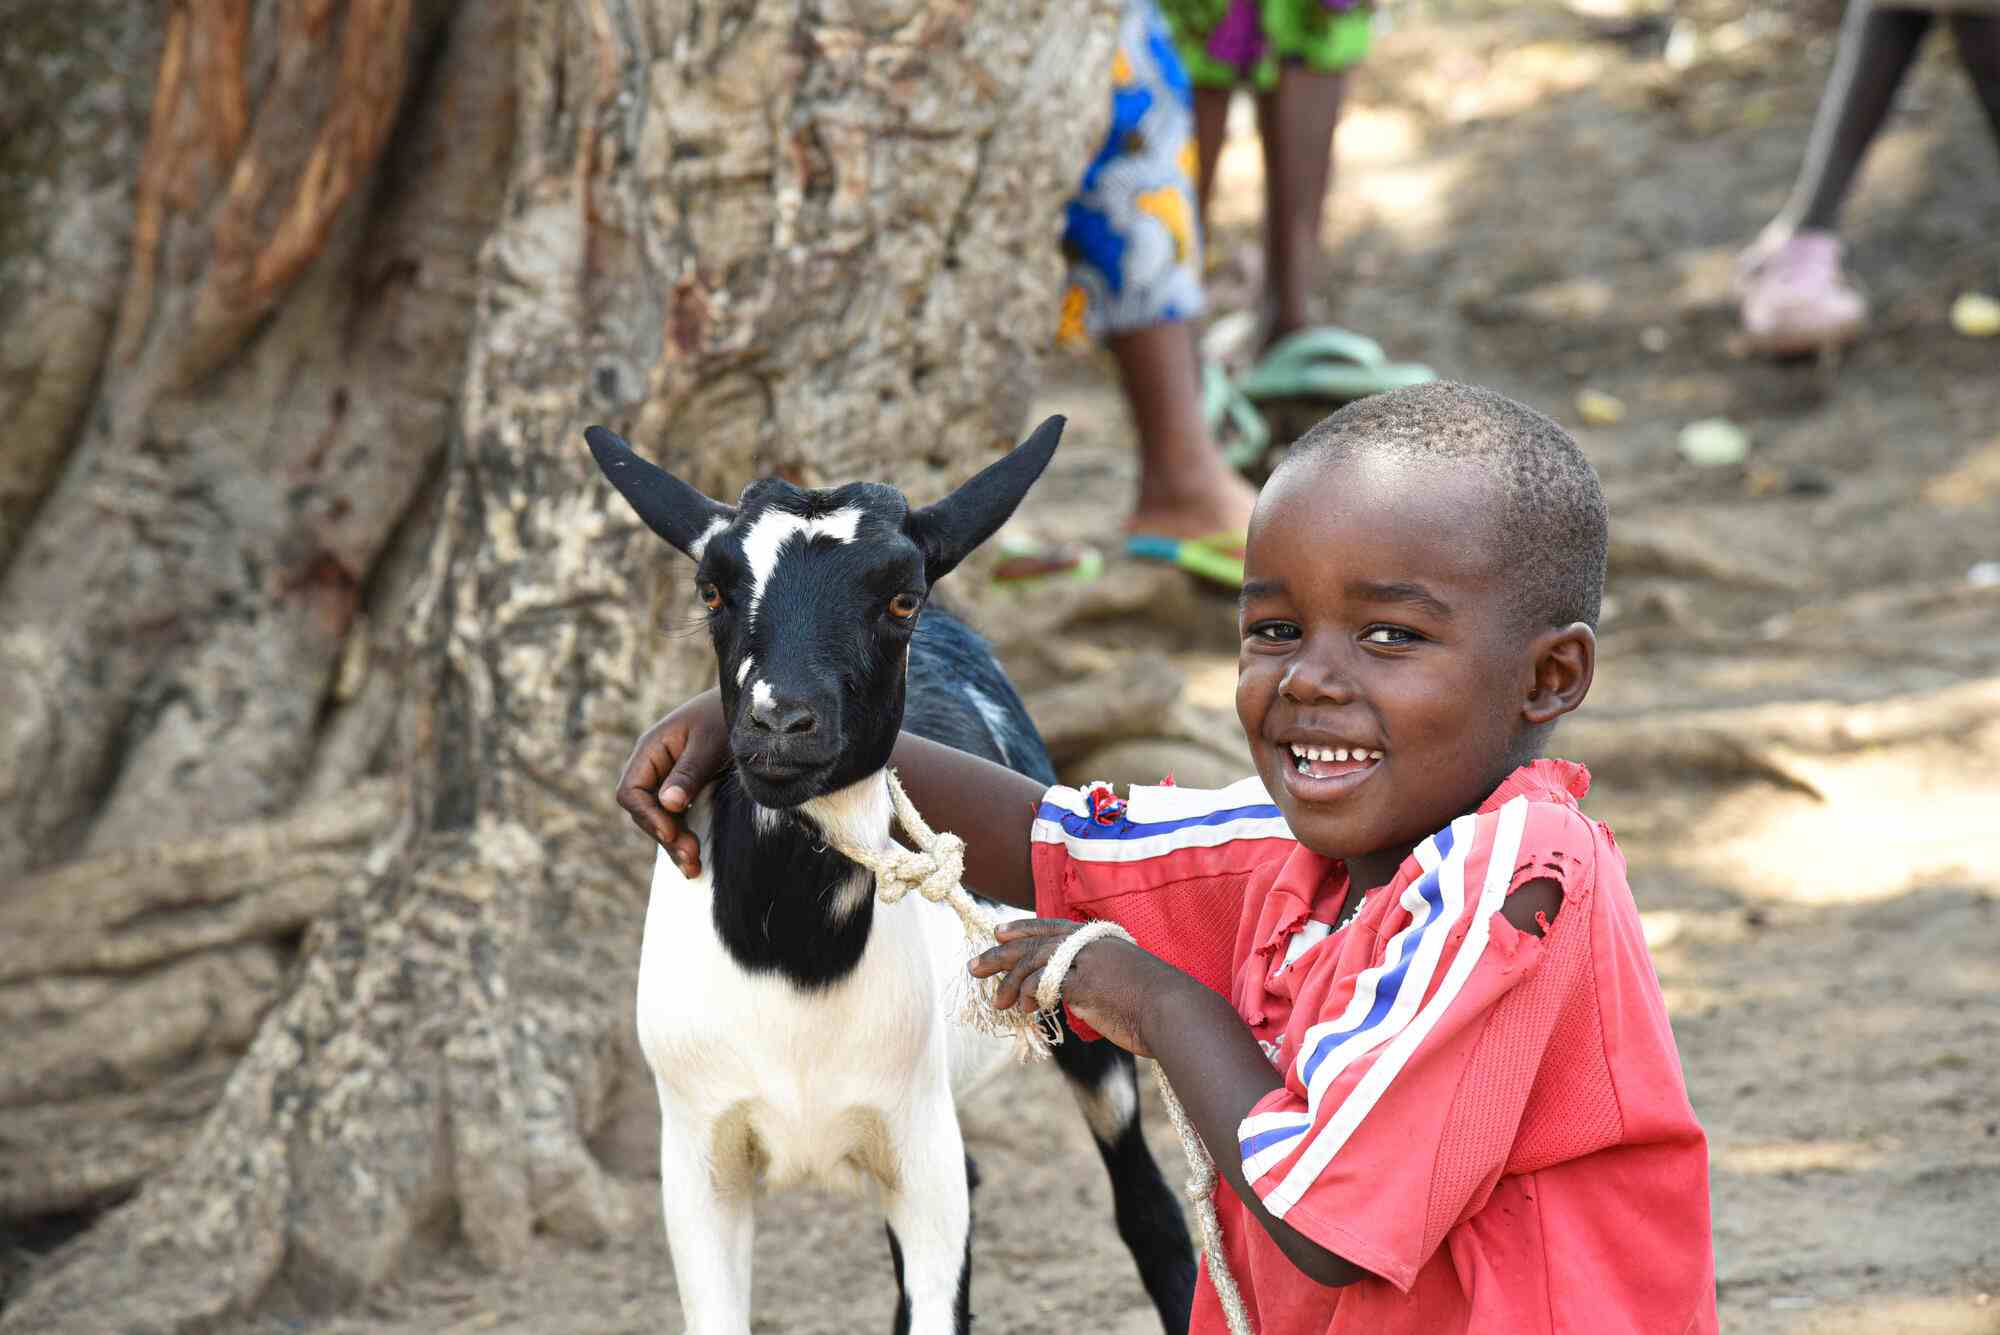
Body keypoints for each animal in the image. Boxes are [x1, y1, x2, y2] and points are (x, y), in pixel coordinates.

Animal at [584, 421, 1192, 1335]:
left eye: (900, 598)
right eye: (712, 589)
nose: (779, 723)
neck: (791, 963)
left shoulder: (920, 1152)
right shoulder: (696, 1157)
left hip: (1079, 1024)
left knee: (1147, 1204)